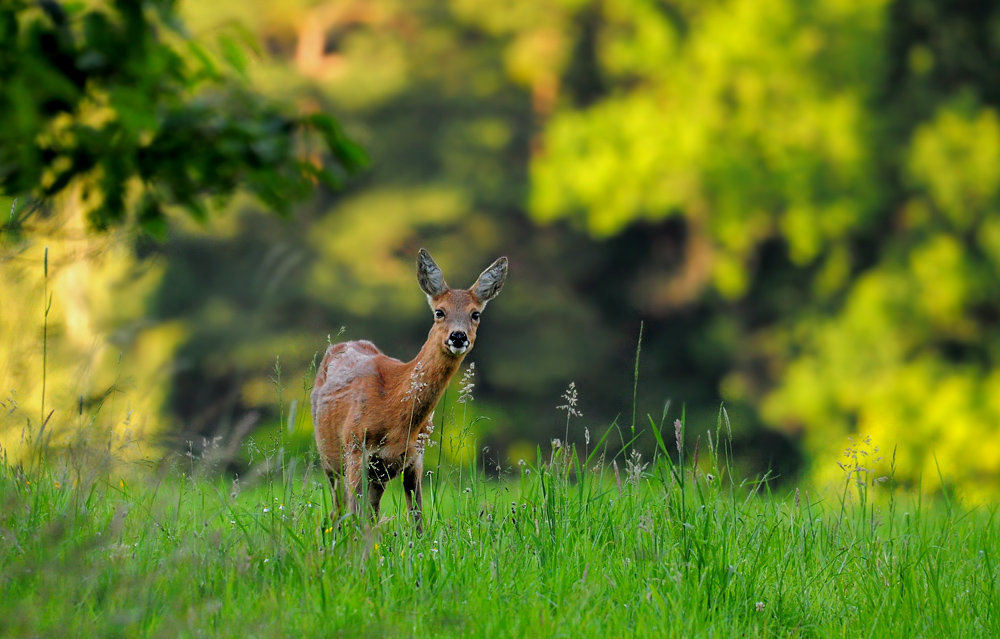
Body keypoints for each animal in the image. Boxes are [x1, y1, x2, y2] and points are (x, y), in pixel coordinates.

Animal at [311, 249, 508, 533]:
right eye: (439, 312)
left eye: (475, 314)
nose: (458, 337)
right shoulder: (356, 446)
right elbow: (356, 513)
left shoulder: (415, 456)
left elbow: (417, 518)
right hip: (331, 457)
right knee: (339, 511)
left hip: (377, 475)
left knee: (370, 511)